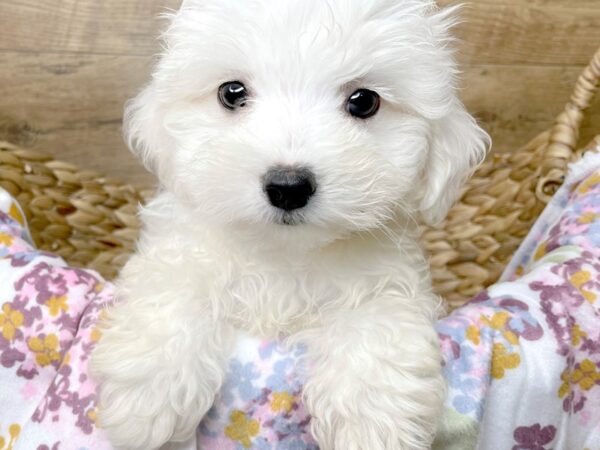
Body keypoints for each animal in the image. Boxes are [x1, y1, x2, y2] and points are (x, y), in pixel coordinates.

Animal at [92, 0, 488, 448]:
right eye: (232, 93)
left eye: (363, 101)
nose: (288, 187)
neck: (284, 254)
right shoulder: (180, 248)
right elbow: (174, 286)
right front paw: (147, 399)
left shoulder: (389, 280)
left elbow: (379, 320)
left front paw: (374, 422)